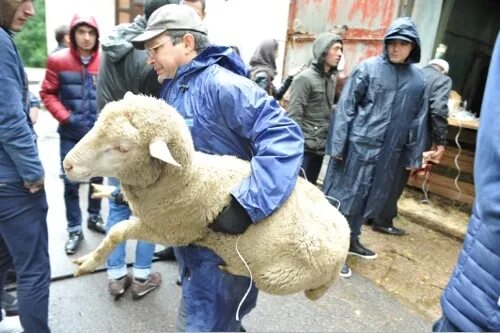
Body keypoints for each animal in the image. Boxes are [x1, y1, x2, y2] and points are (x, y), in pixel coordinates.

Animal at [62, 92, 350, 300]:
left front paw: (89, 262)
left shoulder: (171, 232)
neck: (185, 181)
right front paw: (105, 191)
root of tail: (345, 237)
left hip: (278, 277)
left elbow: (117, 232)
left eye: (123, 148)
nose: (67, 165)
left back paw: (230, 267)